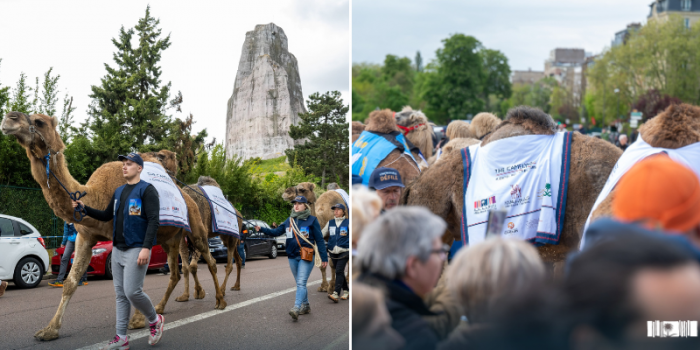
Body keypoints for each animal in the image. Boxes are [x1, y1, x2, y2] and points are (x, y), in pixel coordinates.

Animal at [0, 112, 224, 342]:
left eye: (40, 122)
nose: (9, 118)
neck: (97, 195)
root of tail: (185, 193)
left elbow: (129, 281)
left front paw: (136, 321)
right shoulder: (85, 237)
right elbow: (71, 281)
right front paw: (49, 330)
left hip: (195, 227)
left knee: (210, 260)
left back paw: (220, 300)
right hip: (171, 239)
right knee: (176, 272)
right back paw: (161, 307)